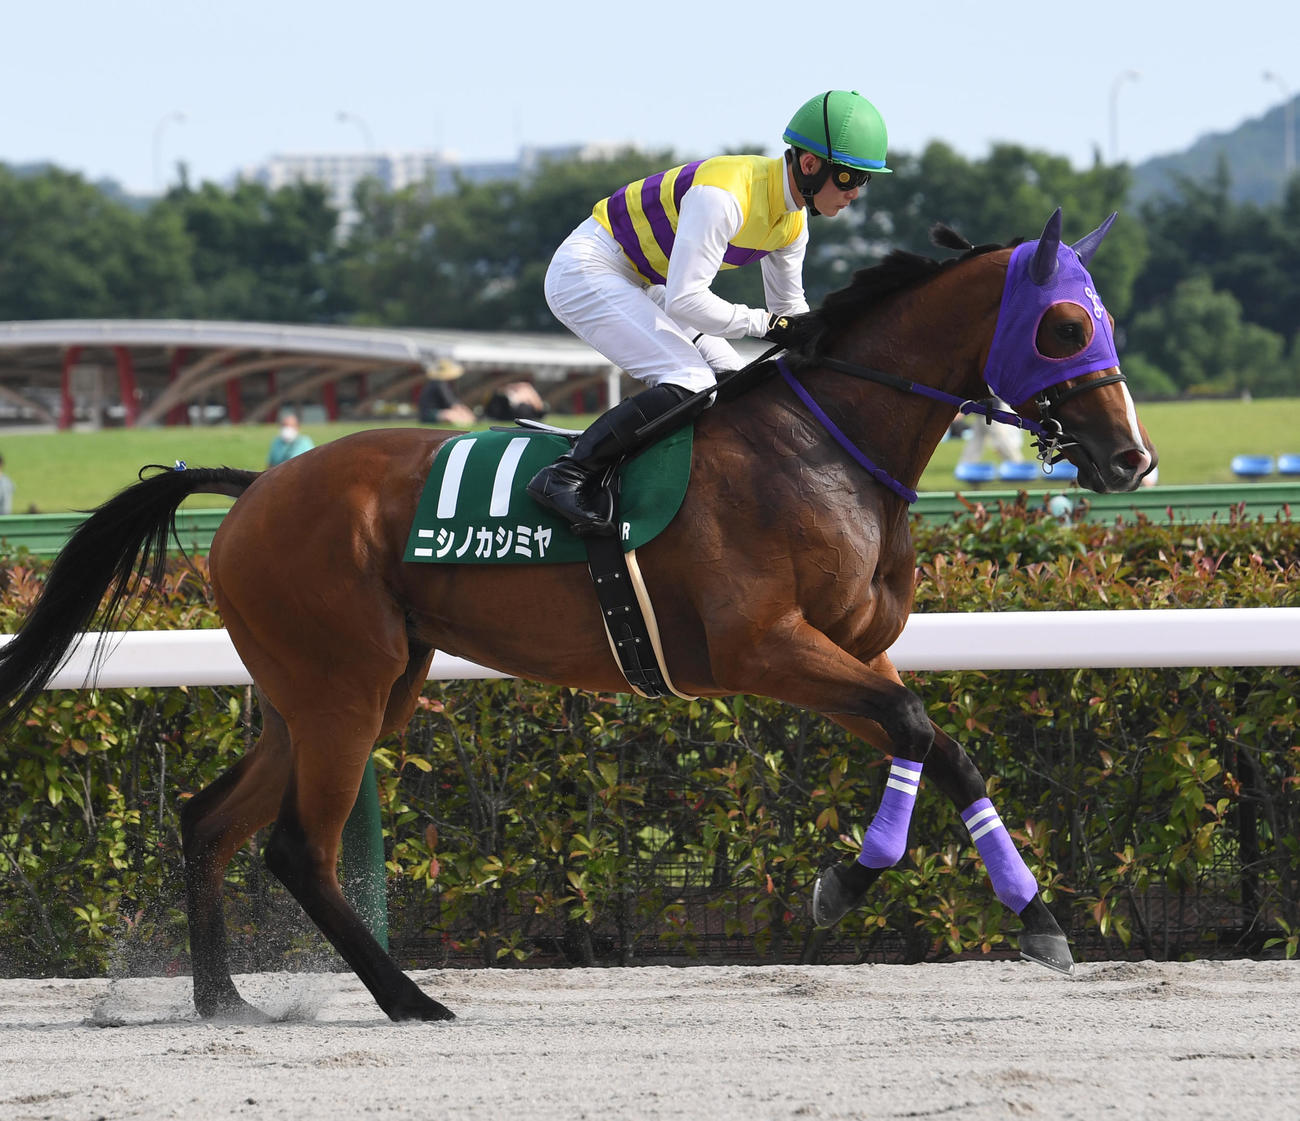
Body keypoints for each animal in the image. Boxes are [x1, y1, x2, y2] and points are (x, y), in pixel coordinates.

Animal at [0, 209, 1155, 1022]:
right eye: (1064, 326)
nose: (1129, 458)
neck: (822, 446)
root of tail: (253, 487)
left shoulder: (848, 652)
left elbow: (940, 743)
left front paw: (1038, 916)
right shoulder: (763, 647)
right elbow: (918, 728)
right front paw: (845, 881)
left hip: (332, 687)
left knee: (209, 820)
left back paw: (225, 999)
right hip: (343, 687)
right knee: (297, 847)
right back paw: (410, 997)